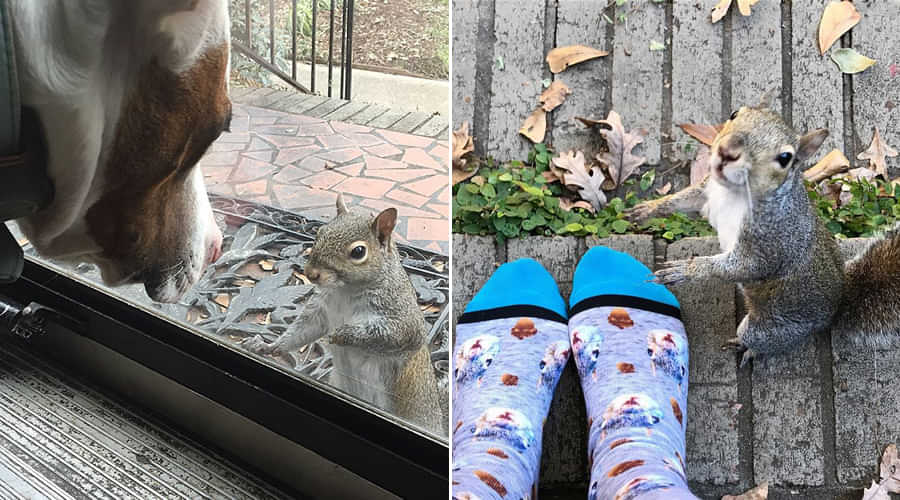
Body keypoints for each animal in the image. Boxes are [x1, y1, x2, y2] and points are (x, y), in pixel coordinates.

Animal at [242, 194, 446, 434]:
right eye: (320, 233)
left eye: (358, 252)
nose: (311, 273)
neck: (346, 290)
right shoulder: (321, 309)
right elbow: (302, 330)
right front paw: (270, 346)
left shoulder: (402, 316)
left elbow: (392, 334)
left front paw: (341, 334)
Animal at [626, 100, 900, 367]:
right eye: (734, 114)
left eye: (785, 157)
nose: (727, 151)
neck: (734, 195)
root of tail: (835, 306)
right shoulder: (707, 193)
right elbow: (682, 200)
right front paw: (647, 209)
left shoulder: (769, 245)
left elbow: (743, 267)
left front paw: (686, 270)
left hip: (768, 329)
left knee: (761, 340)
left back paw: (747, 348)